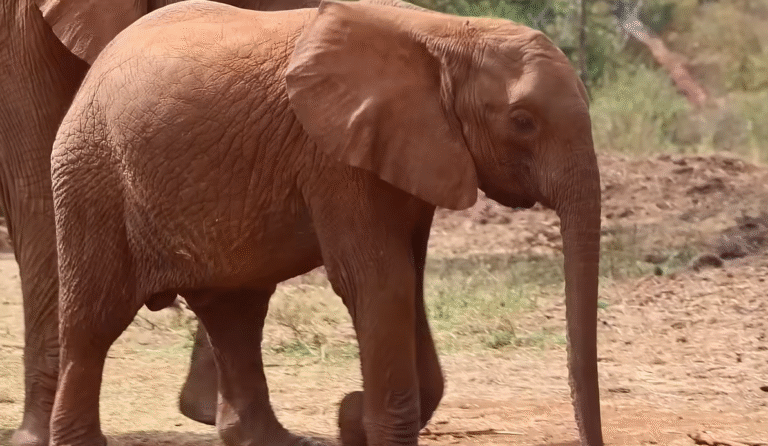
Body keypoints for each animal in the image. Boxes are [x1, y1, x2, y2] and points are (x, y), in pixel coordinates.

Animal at [48, 0, 604, 445]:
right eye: (522, 121)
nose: (345, 404)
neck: (445, 37)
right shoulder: (334, 158)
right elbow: (381, 282)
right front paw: (356, 417)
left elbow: (408, 282)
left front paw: (349, 418)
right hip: (91, 173)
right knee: (93, 321)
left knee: (236, 312)